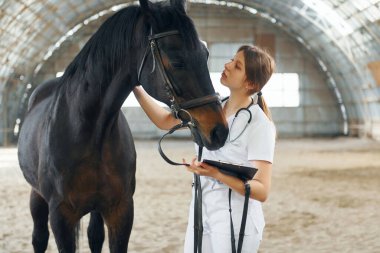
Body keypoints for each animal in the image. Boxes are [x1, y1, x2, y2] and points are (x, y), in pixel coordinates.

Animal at [17, 0, 227, 253]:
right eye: (177, 61)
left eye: (205, 55)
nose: (219, 131)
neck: (88, 133)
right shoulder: (60, 216)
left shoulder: (121, 210)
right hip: (37, 197)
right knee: (39, 237)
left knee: (94, 236)